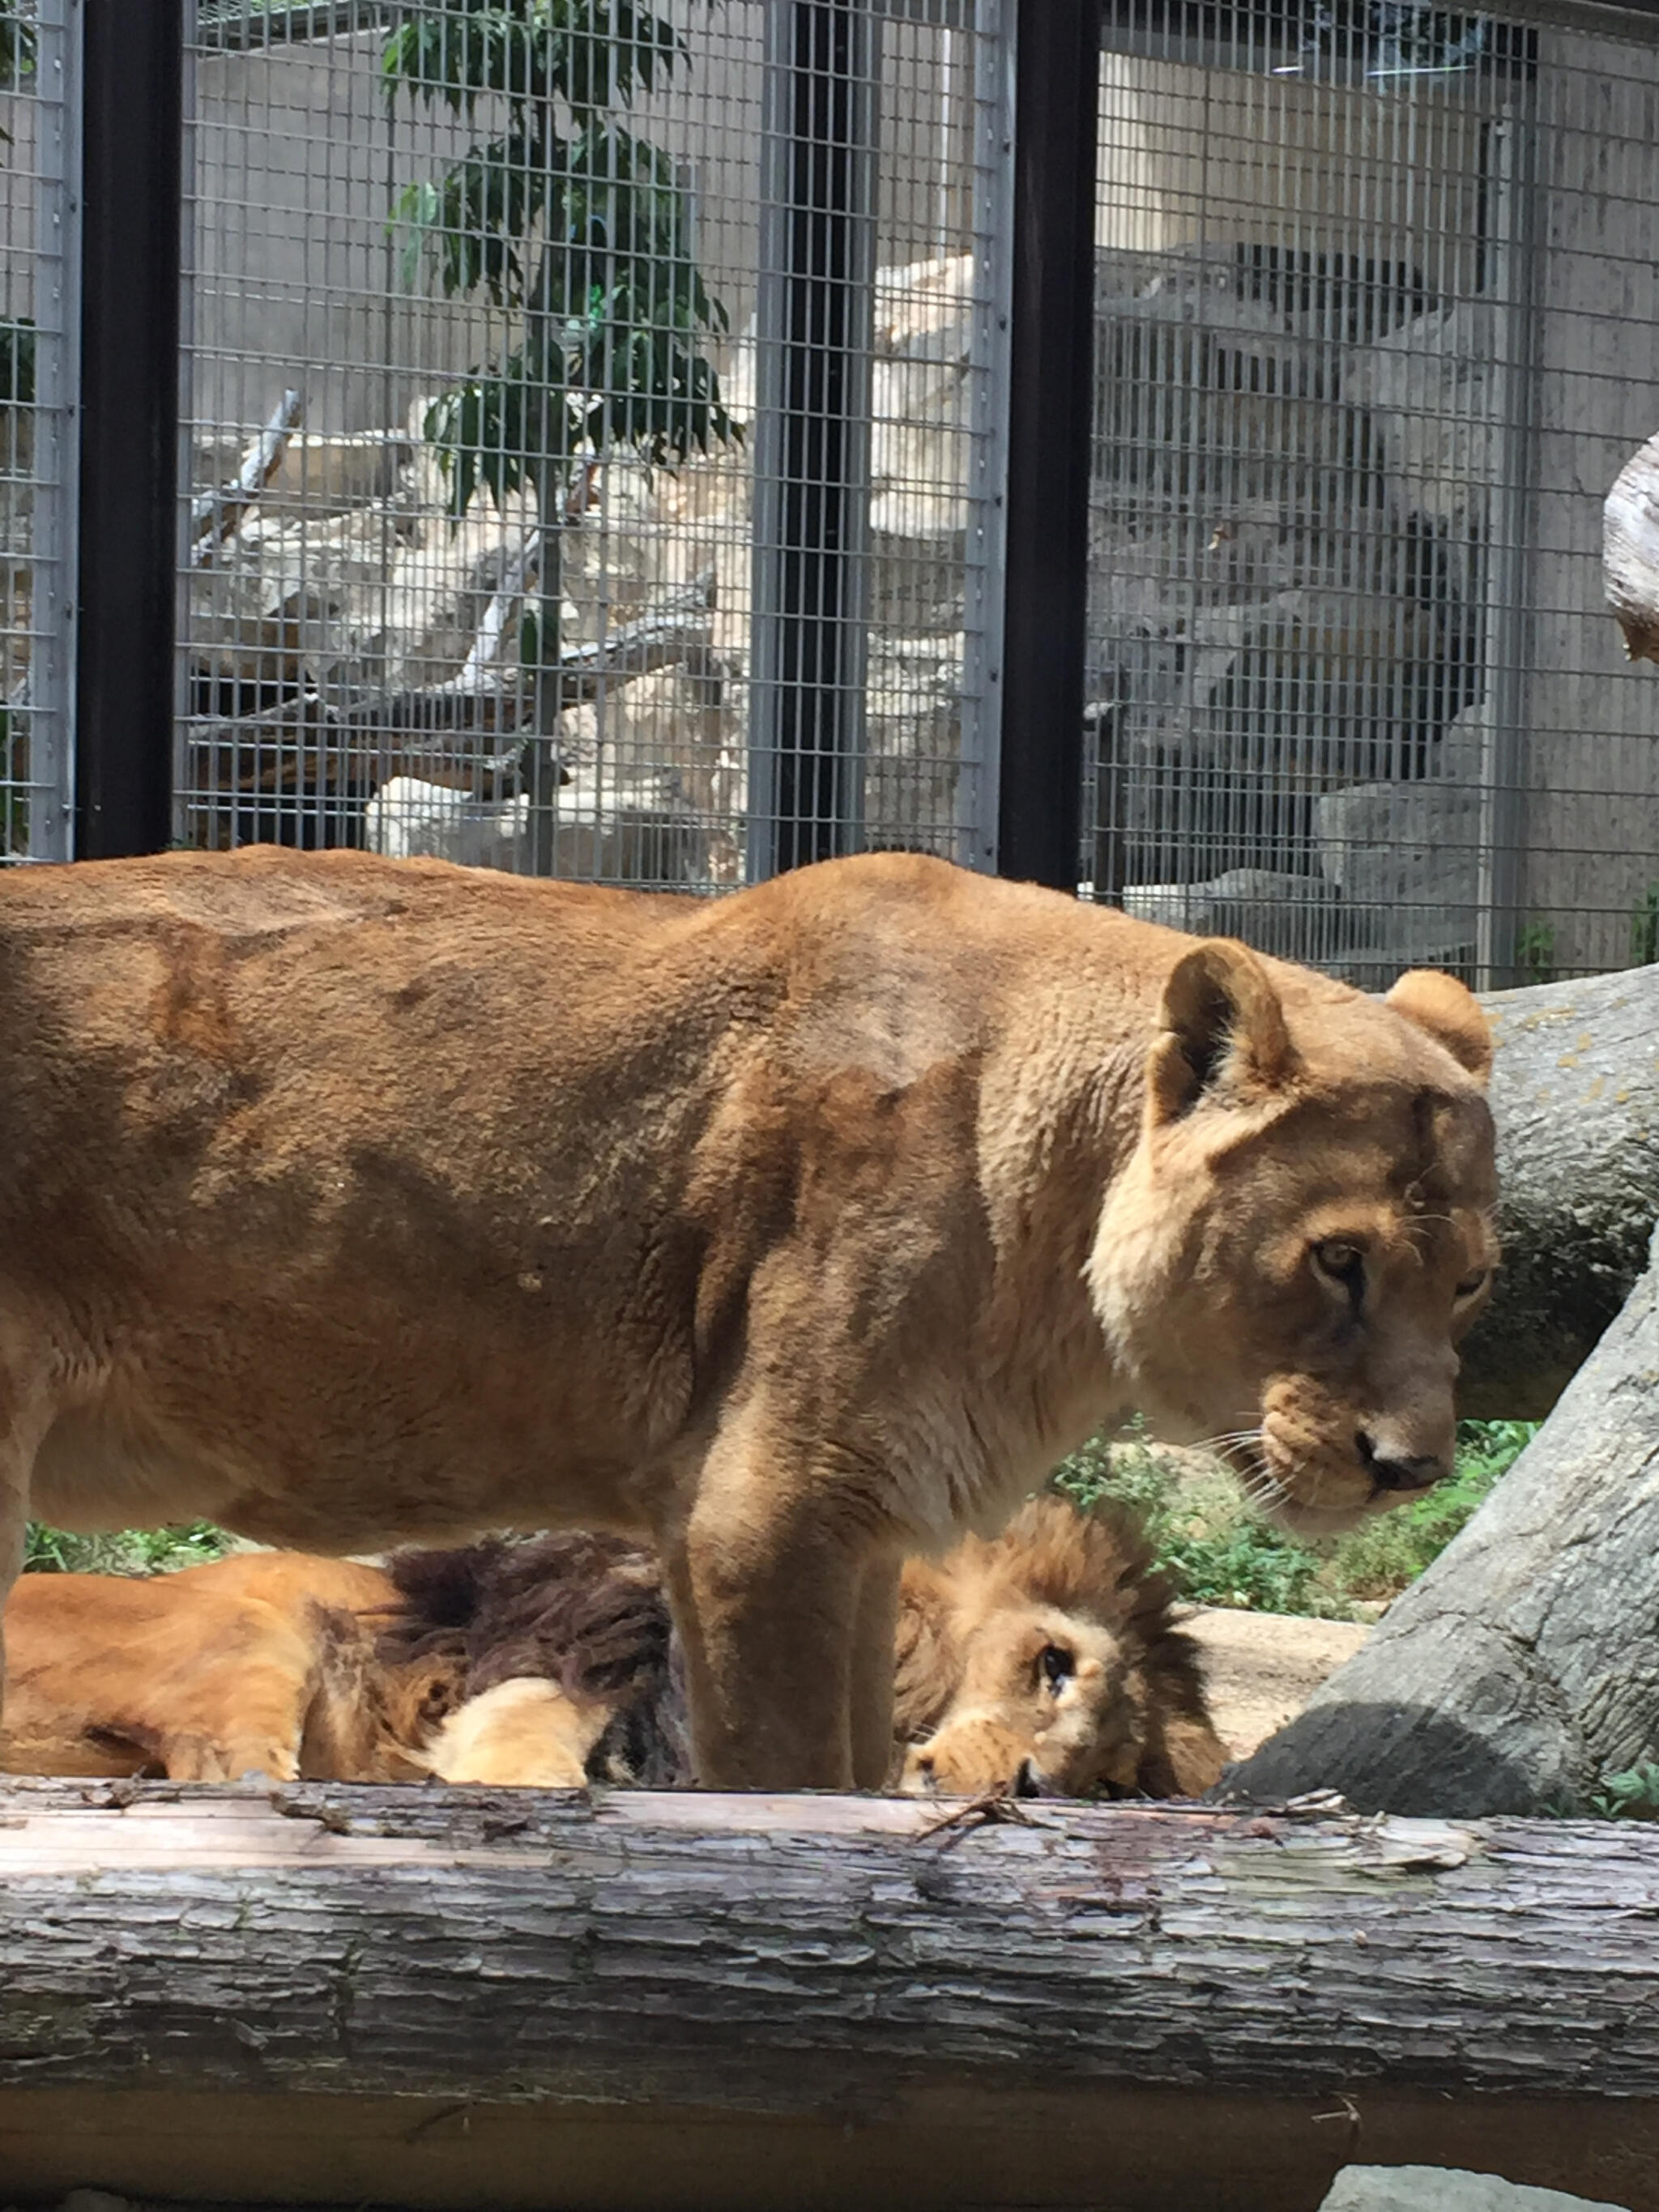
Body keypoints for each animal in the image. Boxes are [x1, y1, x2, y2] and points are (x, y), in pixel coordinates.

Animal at [3, 1495, 1239, 1805]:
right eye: (1051, 1662)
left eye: (1113, 1779)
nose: (1036, 1783)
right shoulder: (566, 1656)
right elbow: (538, 1760)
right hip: (260, 1633)